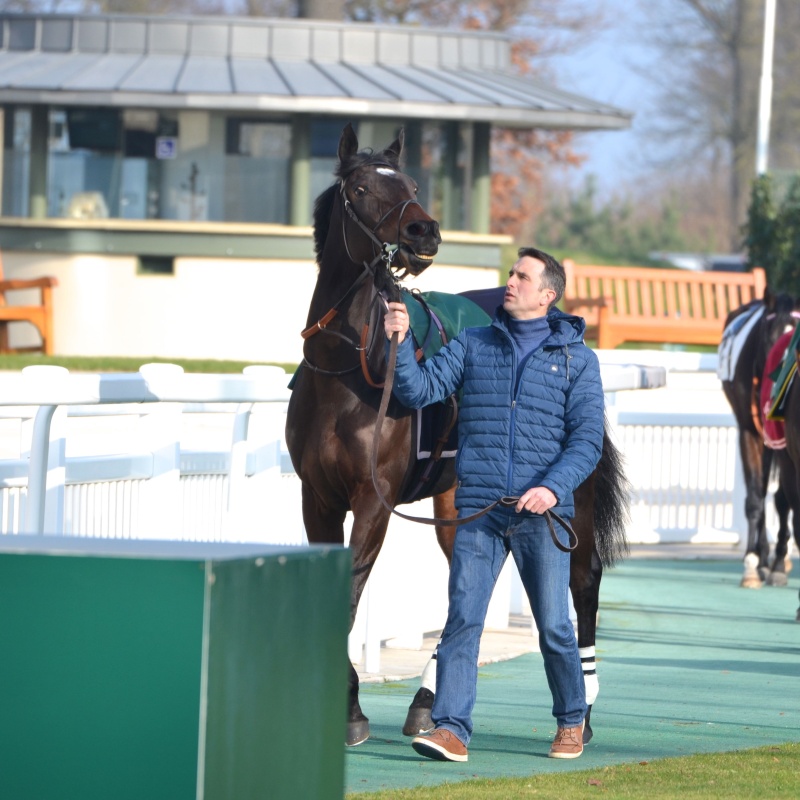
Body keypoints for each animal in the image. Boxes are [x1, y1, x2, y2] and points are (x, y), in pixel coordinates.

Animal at [720, 292, 800, 588]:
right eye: (768, 334)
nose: (773, 384)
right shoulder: (749, 430)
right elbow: (756, 496)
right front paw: (752, 563)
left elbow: (781, 499)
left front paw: (777, 561)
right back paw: (763, 560)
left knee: (779, 497)